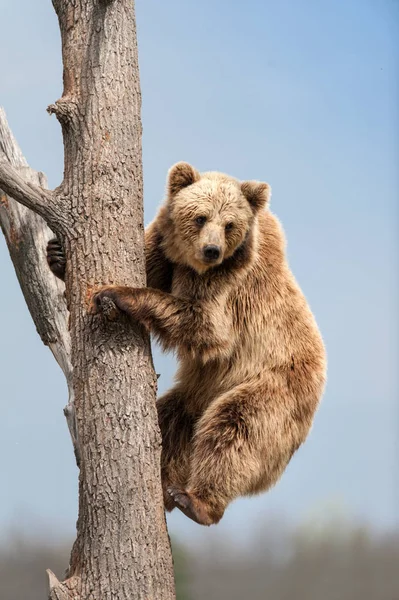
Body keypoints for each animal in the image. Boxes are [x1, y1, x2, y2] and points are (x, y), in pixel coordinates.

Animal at [47, 163, 328, 524]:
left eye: (229, 224)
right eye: (200, 217)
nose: (212, 250)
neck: (189, 261)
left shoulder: (227, 285)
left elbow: (203, 324)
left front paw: (116, 294)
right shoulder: (164, 253)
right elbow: (150, 269)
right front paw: (57, 255)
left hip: (275, 387)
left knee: (236, 428)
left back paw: (196, 502)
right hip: (195, 394)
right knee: (169, 422)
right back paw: (165, 483)